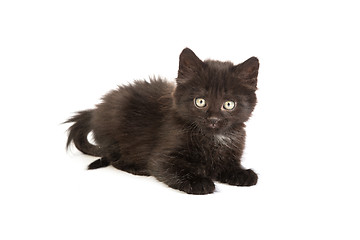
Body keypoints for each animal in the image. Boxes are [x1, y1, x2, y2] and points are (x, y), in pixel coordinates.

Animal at [66, 47, 260, 194]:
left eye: (229, 104)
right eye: (200, 101)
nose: (213, 119)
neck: (213, 139)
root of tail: (97, 110)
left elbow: (228, 166)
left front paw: (243, 174)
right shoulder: (162, 157)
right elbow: (171, 168)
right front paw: (198, 181)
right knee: (115, 158)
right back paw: (138, 168)